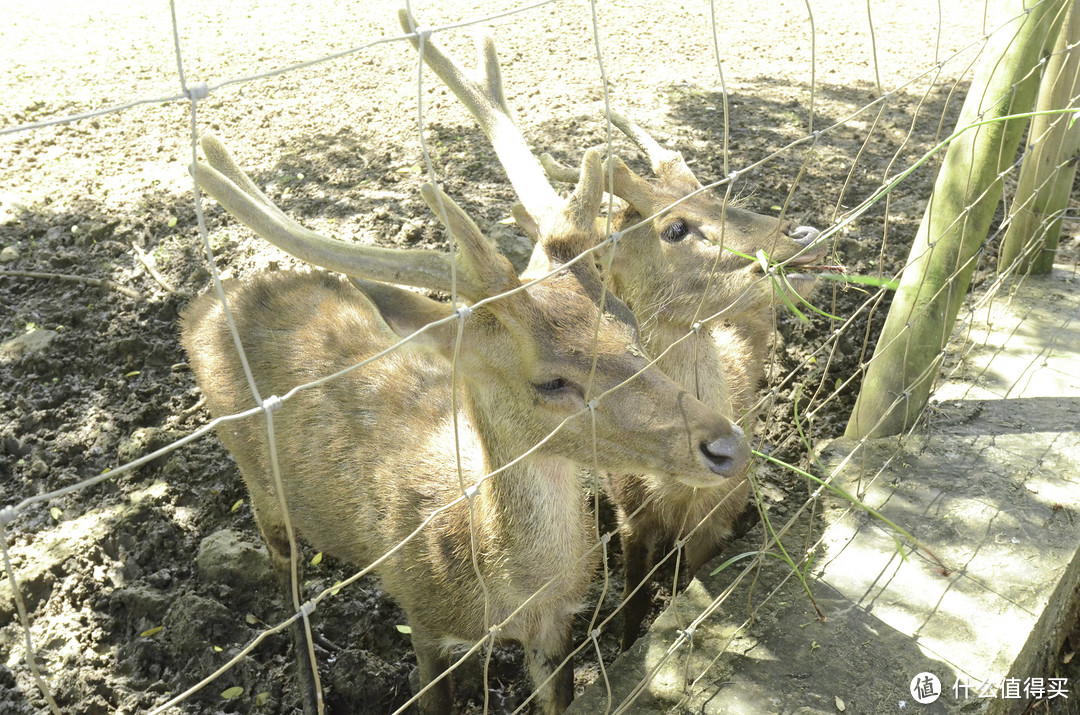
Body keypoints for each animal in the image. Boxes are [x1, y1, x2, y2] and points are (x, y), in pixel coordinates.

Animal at [179, 134, 751, 715]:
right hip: (254, 477)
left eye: (628, 321)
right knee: (285, 569)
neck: (499, 591)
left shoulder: (557, 626)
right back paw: (307, 682)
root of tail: (199, 308)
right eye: (551, 381)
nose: (729, 446)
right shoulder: (422, 615)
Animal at [397, 11, 825, 652]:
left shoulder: (721, 513)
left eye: (718, 191)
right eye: (675, 228)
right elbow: (631, 602)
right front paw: (627, 642)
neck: (674, 497)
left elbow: (690, 579)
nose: (805, 235)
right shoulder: (627, 513)